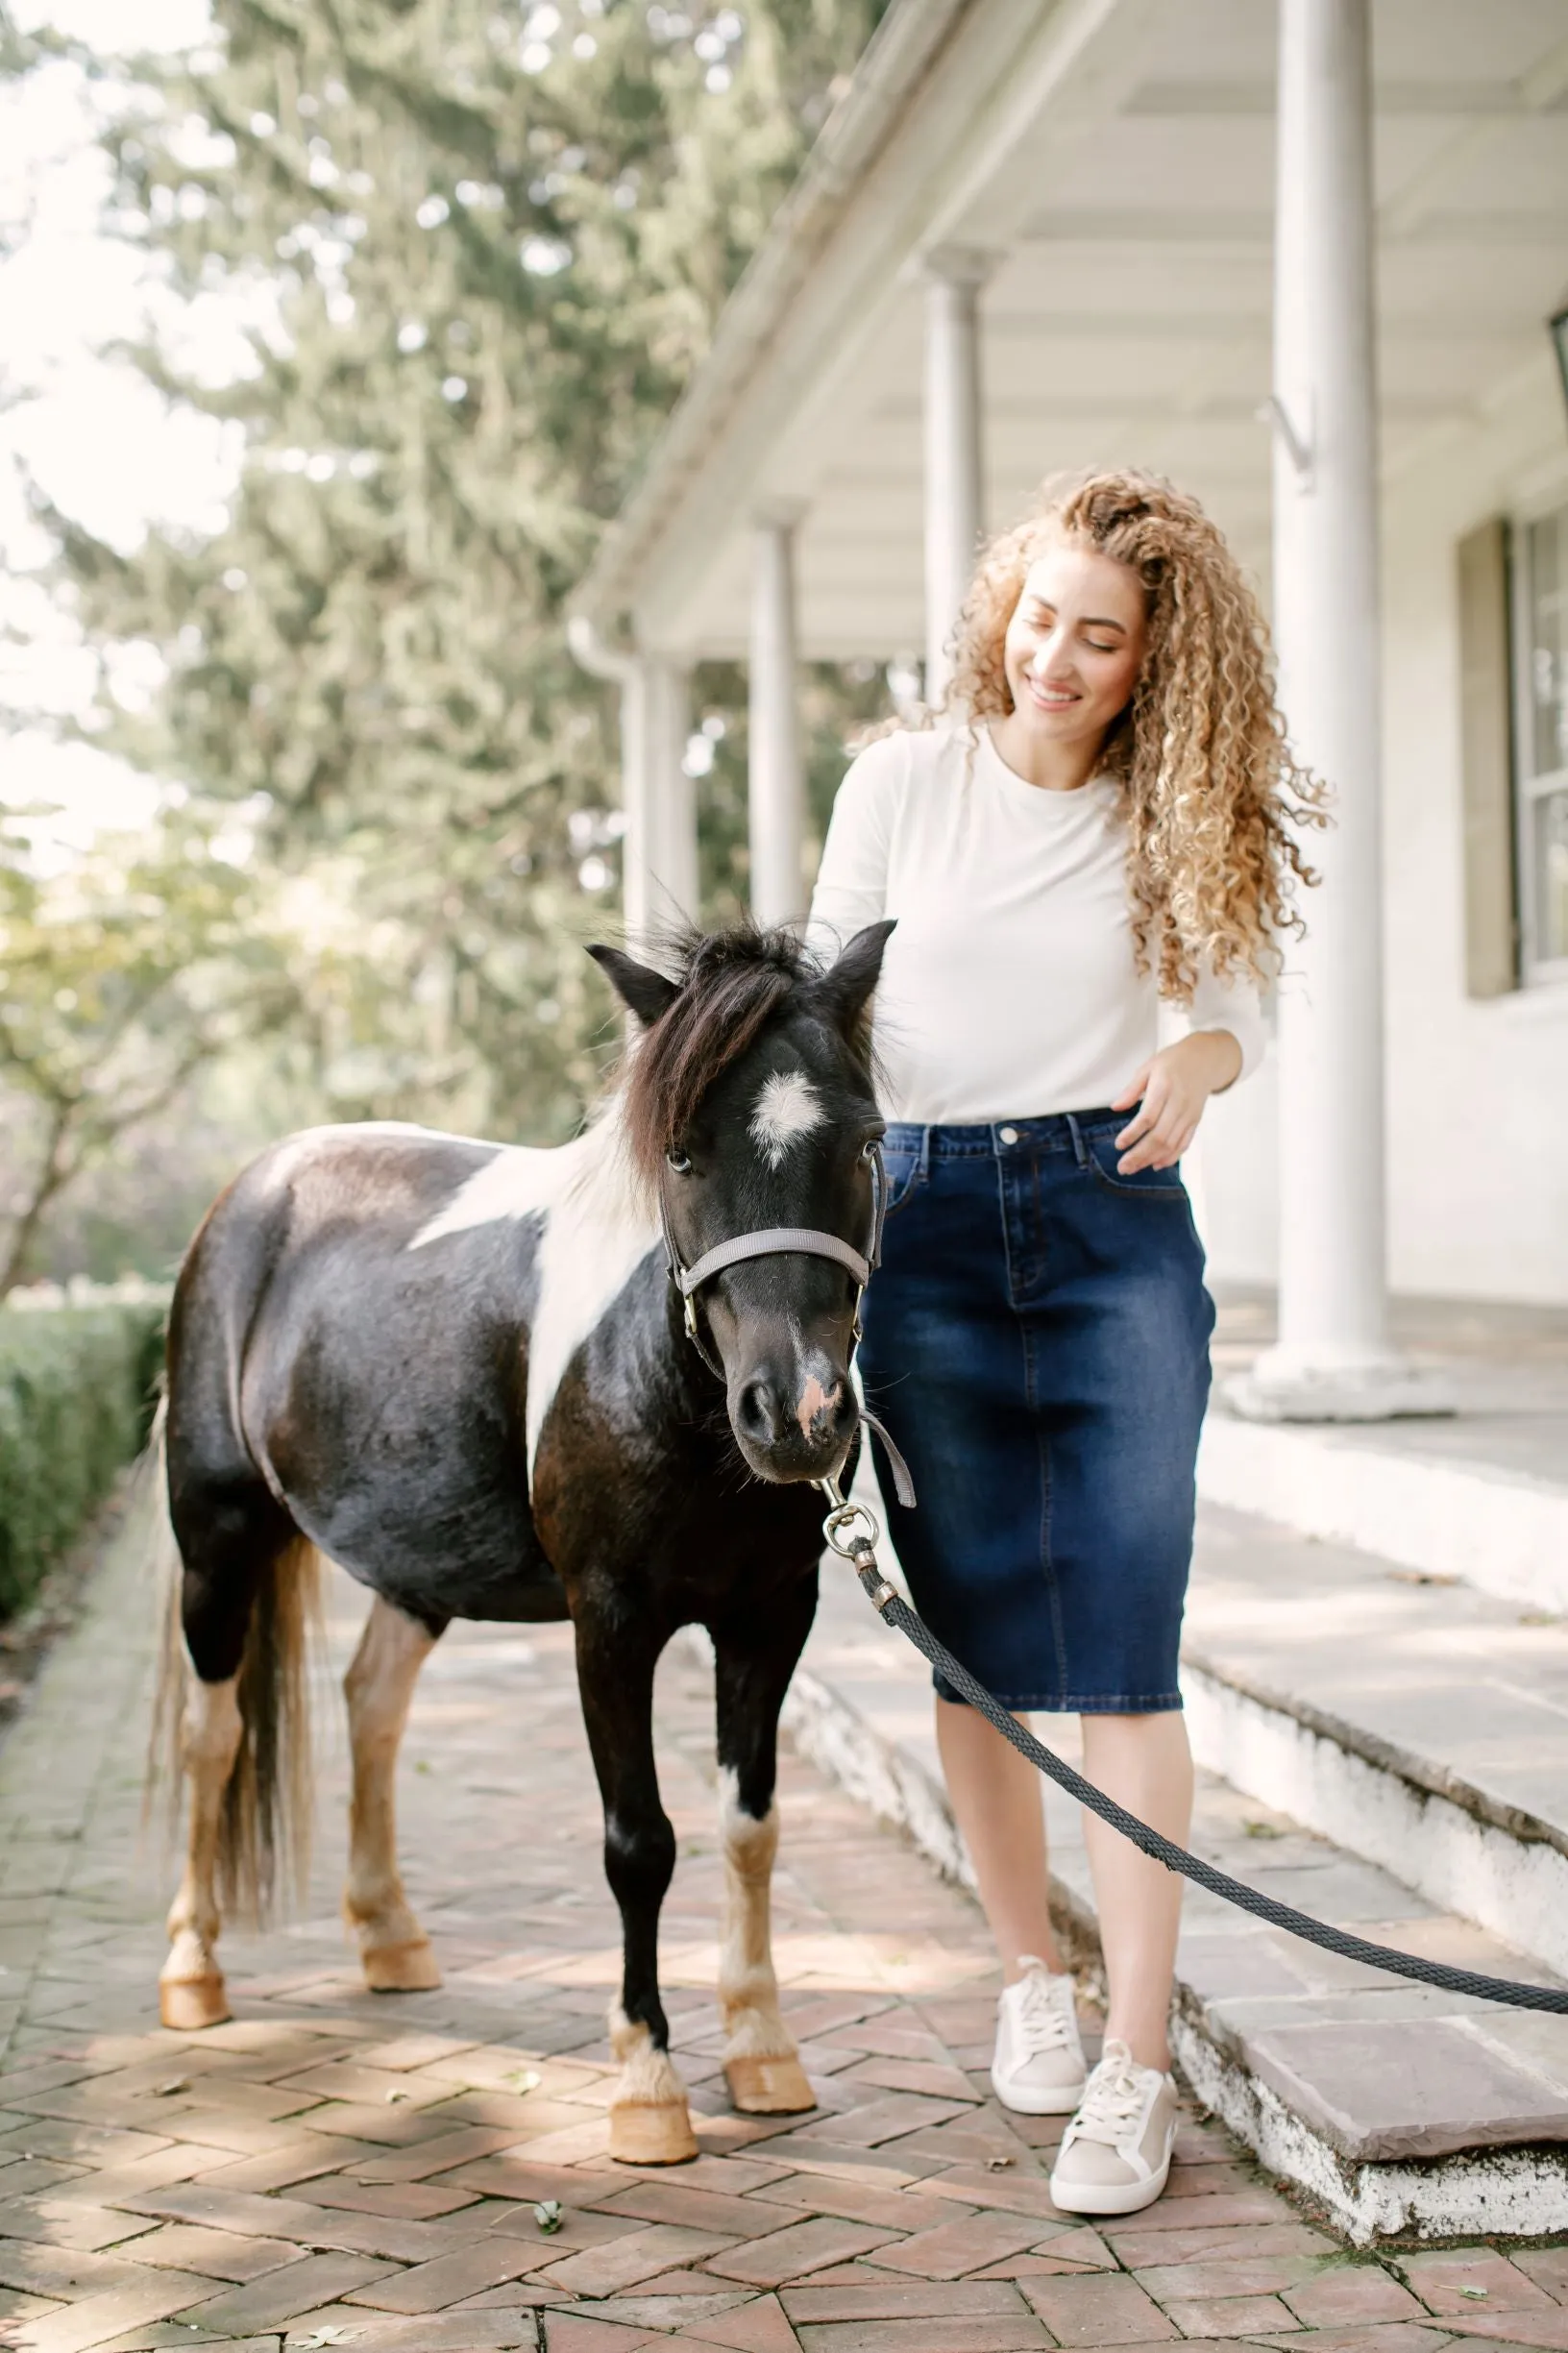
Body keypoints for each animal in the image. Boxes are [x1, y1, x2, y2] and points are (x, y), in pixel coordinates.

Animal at [159, 922, 899, 2165]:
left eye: (867, 1141)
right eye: (683, 1154)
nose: (797, 1416)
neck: (664, 1379)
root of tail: (251, 1192)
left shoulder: (768, 1619)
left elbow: (749, 1829)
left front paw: (761, 2046)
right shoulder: (610, 1623)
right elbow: (639, 1842)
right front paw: (647, 2081)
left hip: (416, 1566)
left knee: (371, 1702)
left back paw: (390, 1939)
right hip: (216, 1543)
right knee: (213, 1738)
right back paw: (191, 1970)